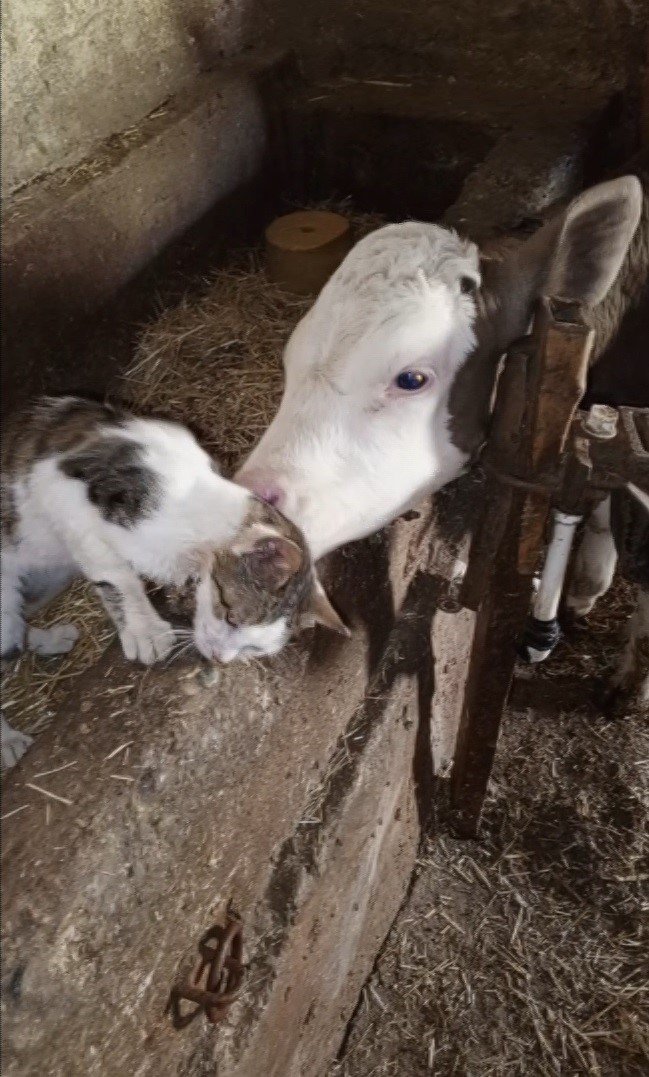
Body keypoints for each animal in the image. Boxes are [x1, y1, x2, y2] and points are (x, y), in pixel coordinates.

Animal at [1, 396, 350, 766]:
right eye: (230, 614)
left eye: (255, 648)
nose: (221, 658)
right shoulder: (57, 489)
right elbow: (114, 571)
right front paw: (144, 630)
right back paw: (9, 739)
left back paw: (48, 639)